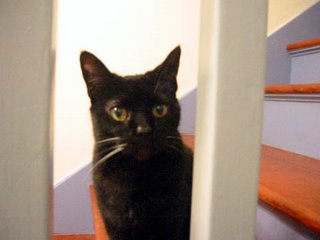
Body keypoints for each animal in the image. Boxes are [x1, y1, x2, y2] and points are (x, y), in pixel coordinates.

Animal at [80, 47, 194, 240]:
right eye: (118, 112)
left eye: (159, 109)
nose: (143, 130)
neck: (139, 175)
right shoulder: (116, 224)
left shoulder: (173, 223)